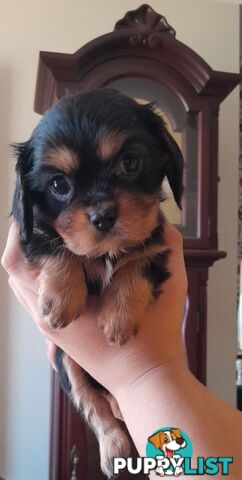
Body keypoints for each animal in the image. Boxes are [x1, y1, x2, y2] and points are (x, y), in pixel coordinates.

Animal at [10, 89, 182, 476]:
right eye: (59, 185)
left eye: (130, 163)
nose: (103, 215)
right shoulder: (32, 234)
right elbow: (57, 244)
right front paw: (60, 300)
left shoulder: (157, 244)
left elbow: (136, 266)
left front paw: (118, 319)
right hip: (68, 365)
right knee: (95, 405)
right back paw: (113, 448)